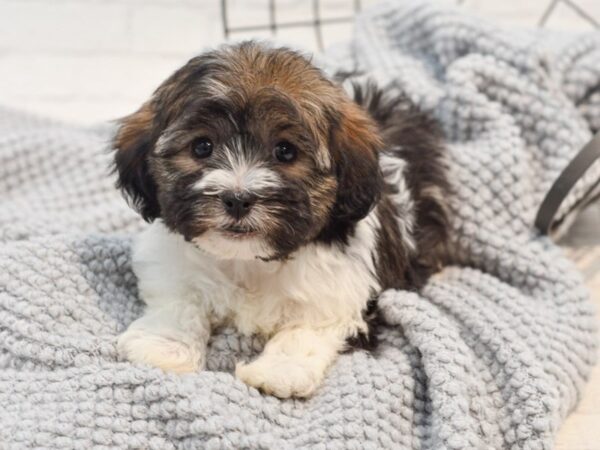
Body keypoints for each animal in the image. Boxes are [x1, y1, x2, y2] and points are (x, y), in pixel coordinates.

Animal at [113, 41, 450, 398]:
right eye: (202, 146)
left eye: (285, 151)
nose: (238, 199)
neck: (248, 261)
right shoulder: (175, 266)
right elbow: (179, 301)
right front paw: (164, 346)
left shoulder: (336, 291)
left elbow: (307, 328)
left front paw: (279, 371)